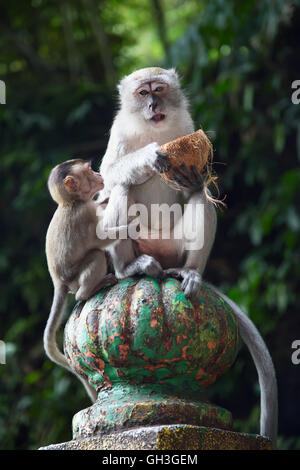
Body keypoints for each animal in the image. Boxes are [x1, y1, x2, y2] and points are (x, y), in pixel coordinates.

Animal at [44, 158, 117, 400]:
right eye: (89, 171)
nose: (99, 175)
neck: (71, 203)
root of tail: (58, 282)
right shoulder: (85, 213)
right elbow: (103, 238)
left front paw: (106, 200)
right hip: (73, 279)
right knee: (96, 255)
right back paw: (88, 291)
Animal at [99, 67, 278, 444]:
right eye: (142, 93)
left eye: (159, 89)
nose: (153, 105)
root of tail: (164, 260)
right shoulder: (119, 130)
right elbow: (107, 178)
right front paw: (148, 157)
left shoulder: (186, 125)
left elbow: (194, 183)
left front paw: (191, 175)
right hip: (140, 243)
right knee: (120, 188)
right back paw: (129, 268)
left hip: (176, 247)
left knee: (200, 195)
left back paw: (191, 271)